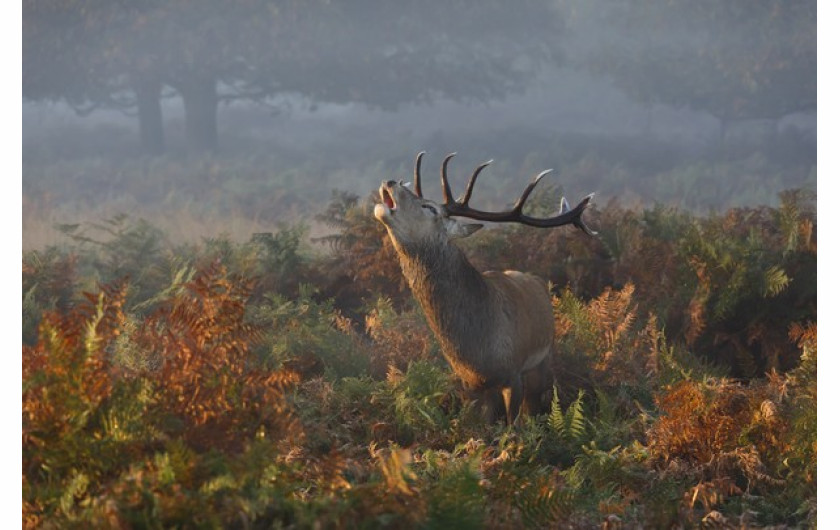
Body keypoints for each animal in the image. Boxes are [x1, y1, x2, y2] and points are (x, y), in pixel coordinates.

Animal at [374, 151, 596, 422]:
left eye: (429, 207)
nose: (390, 181)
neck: (477, 349)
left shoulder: (513, 373)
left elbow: (513, 426)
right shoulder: (469, 385)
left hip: (542, 361)